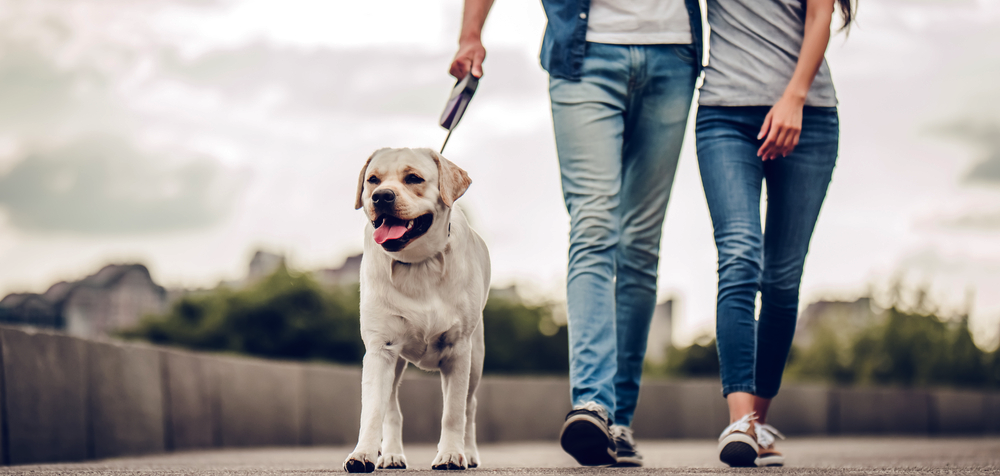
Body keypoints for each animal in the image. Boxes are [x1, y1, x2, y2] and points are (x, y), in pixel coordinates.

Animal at [344, 148, 492, 472]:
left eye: (413, 178)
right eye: (373, 180)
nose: (381, 197)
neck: (418, 264)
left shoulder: (458, 350)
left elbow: (453, 412)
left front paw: (450, 454)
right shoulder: (380, 349)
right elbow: (372, 411)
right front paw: (362, 454)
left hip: (476, 357)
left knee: (471, 406)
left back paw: (470, 452)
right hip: (395, 361)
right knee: (391, 410)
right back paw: (390, 455)